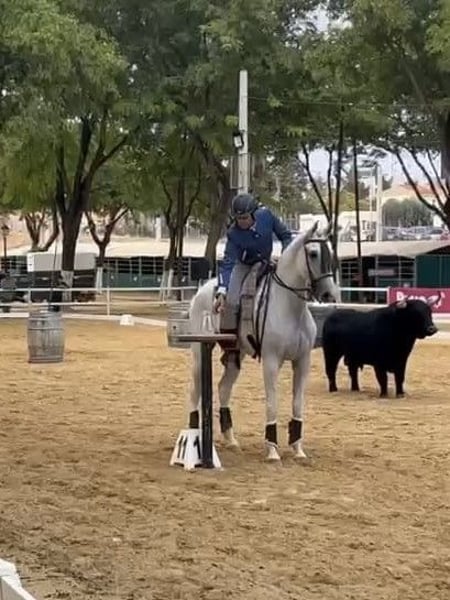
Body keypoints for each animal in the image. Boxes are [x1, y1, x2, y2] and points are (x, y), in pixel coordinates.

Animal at [186, 221, 340, 461]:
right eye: (313, 253)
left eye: (330, 252)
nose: (328, 294)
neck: (289, 307)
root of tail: (201, 291)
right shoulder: (271, 361)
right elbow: (272, 404)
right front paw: (272, 450)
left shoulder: (302, 361)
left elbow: (297, 404)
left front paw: (298, 449)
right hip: (200, 353)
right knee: (195, 392)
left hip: (234, 356)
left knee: (223, 388)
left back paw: (231, 440)